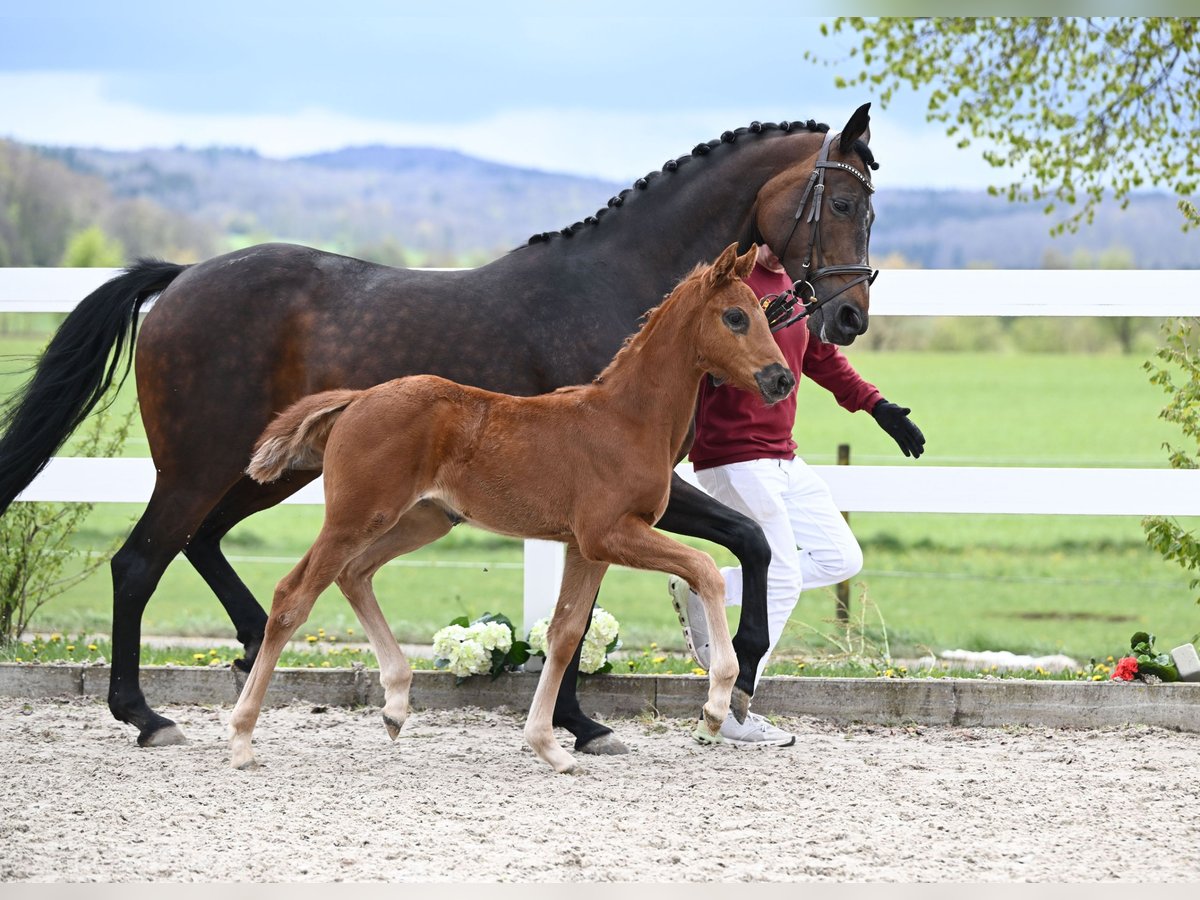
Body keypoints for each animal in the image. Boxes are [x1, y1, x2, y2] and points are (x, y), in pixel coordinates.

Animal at [229, 247, 792, 777]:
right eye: (735, 317)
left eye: (765, 313)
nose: (781, 380)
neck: (627, 419)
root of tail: (356, 399)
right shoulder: (609, 534)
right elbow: (704, 570)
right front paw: (718, 704)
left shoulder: (586, 548)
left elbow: (564, 634)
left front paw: (549, 746)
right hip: (356, 517)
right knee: (293, 596)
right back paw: (241, 738)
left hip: (421, 520)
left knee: (354, 574)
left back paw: (395, 703)